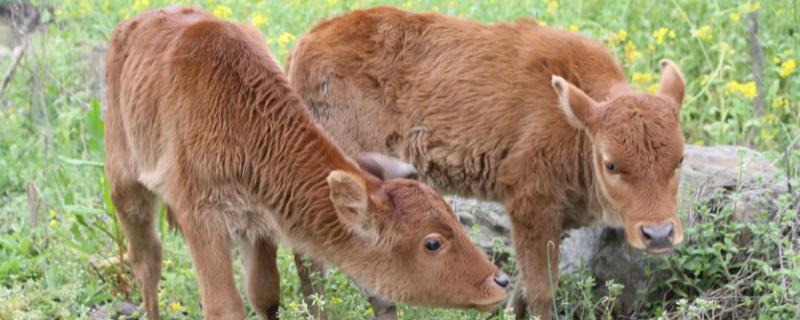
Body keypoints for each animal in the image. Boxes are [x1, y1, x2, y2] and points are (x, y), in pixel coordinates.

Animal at [104, 5, 506, 320]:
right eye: (432, 243)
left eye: (455, 219)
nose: (499, 280)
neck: (241, 116)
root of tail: (133, 24)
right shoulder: (202, 220)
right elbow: (225, 306)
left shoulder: (258, 223)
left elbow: (266, 294)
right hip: (126, 186)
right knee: (147, 260)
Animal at [288, 6, 688, 318]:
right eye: (611, 163)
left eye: (680, 159)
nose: (658, 235)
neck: (573, 122)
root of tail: (307, 42)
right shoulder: (530, 202)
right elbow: (541, 290)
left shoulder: (551, 219)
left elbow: (522, 287)